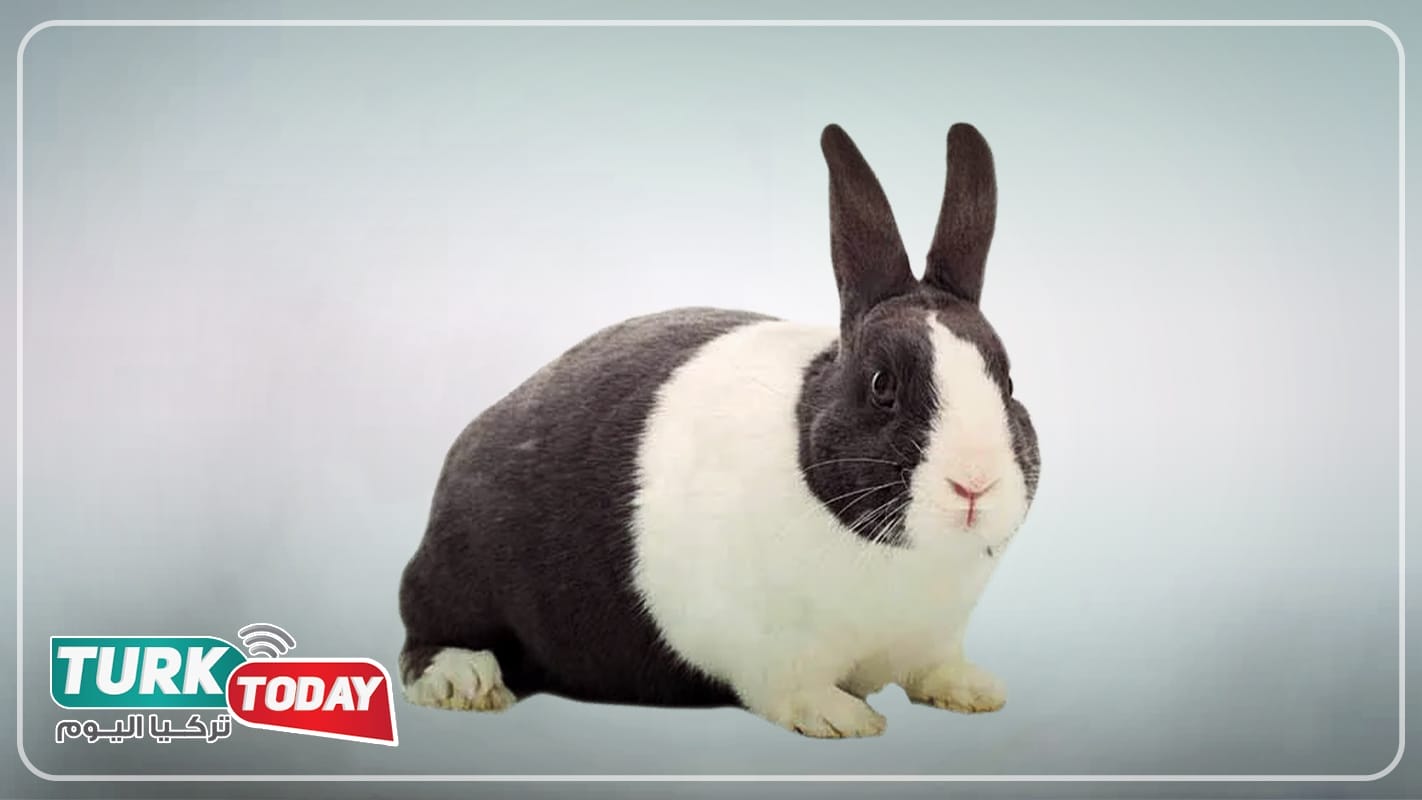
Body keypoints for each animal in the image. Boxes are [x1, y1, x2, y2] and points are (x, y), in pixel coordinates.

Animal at [397, 123, 1039, 738]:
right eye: (883, 386)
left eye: (1007, 382)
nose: (974, 484)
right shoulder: (766, 643)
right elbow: (793, 686)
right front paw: (843, 720)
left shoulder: (934, 638)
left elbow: (934, 668)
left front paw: (976, 691)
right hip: (460, 575)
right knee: (420, 631)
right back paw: (465, 680)